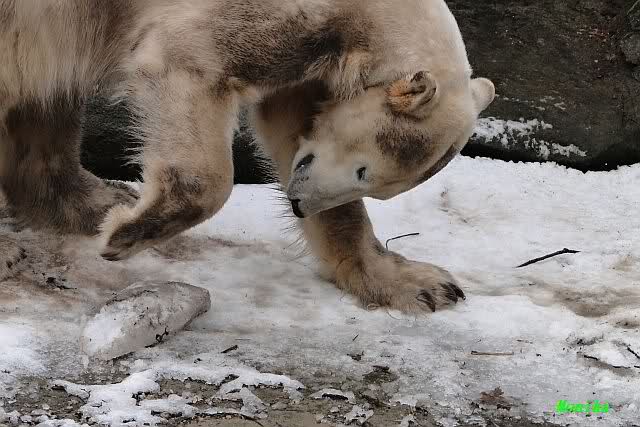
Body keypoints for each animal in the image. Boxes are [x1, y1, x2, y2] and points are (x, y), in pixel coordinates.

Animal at [0, 0, 495, 312]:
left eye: (375, 184)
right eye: (363, 171)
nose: (298, 203)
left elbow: (292, 120)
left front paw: (420, 285)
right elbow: (188, 58)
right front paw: (125, 234)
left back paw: (95, 200)